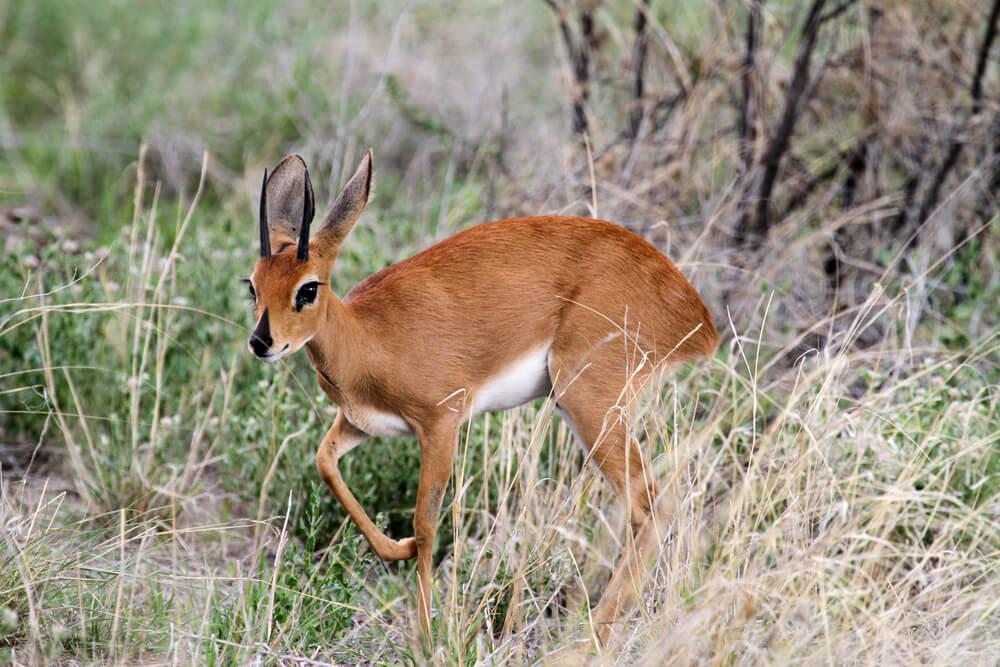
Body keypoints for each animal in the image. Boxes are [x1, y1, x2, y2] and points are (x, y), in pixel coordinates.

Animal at [245, 150, 718, 646]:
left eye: (308, 288)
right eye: (253, 285)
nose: (261, 342)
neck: (366, 336)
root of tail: (696, 314)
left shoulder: (440, 423)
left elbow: (427, 524)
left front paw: (427, 638)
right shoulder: (360, 422)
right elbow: (324, 461)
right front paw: (397, 549)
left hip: (589, 404)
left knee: (652, 502)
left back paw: (591, 633)